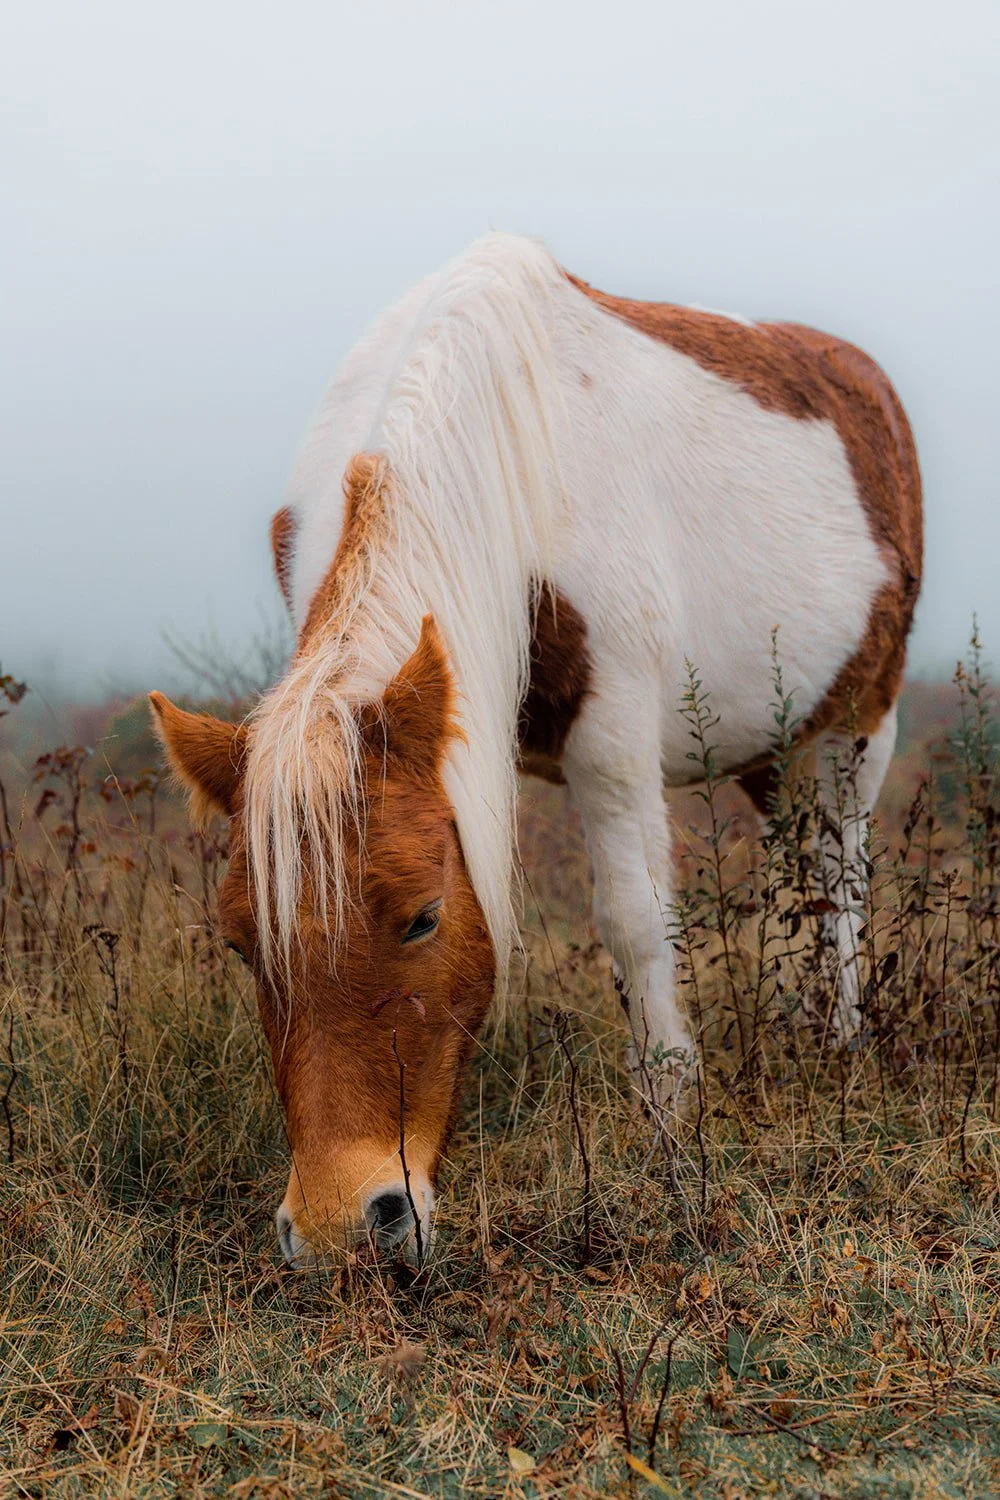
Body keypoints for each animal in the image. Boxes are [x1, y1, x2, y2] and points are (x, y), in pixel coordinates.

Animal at [149, 233, 922, 1267]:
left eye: (424, 919)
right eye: (240, 943)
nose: (343, 1228)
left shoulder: (615, 742)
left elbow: (638, 925)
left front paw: (671, 1117)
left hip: (858, 727)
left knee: (840, 877)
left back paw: (836, 1040)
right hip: (776, 750)